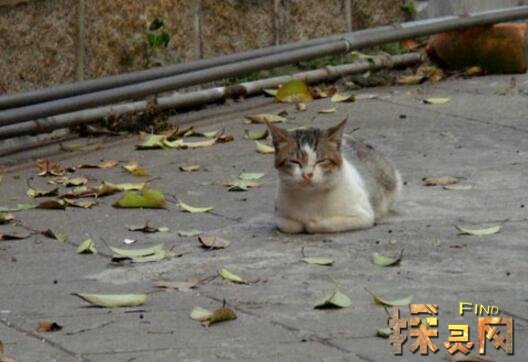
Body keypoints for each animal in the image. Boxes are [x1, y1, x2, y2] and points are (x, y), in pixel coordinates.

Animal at [266, 117, 402, 233]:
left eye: (321, 161)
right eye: (295, 161)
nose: (307, 174)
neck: (310, 197)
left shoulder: (363, 216)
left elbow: (323, 224)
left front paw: (312, 224)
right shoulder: (280, 216)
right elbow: (291, 225)